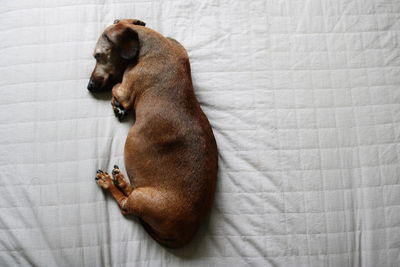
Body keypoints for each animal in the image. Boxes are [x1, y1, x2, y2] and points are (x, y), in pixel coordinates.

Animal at [88, 19, 219, 249]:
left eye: (98, 55)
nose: (89, 86)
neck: (152, 46)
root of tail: (183, 235)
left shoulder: (125, 90)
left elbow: (115, 89)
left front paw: (117, 107)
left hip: (141, 201)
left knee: (125, 205)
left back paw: (108, 182)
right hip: (142, 194)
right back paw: (120, 179)